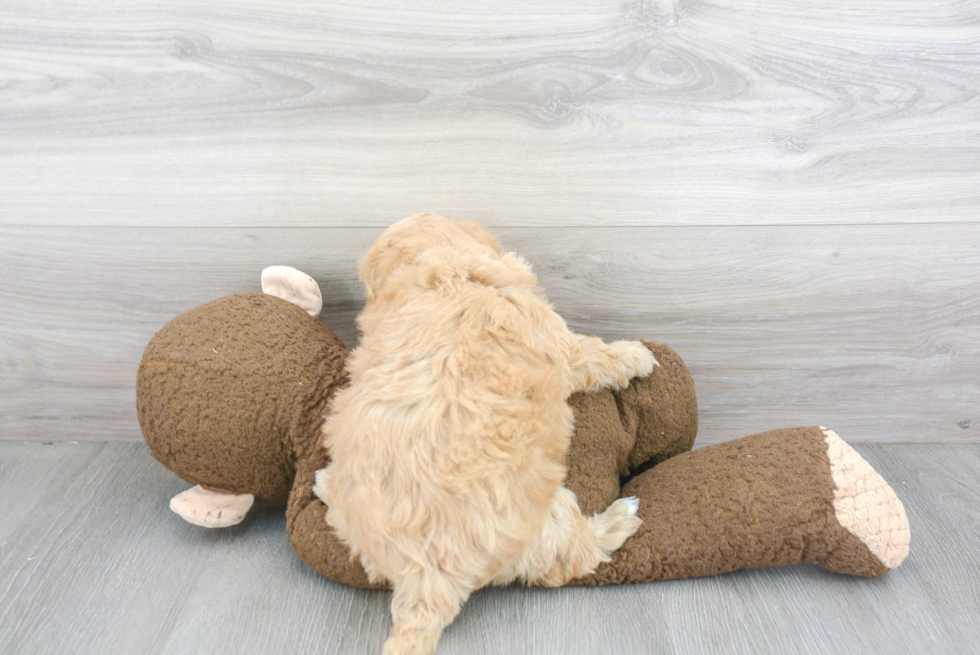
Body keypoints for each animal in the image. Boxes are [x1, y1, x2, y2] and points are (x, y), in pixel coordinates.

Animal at [316, 215, 660, 655]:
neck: (443, 268)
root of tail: (426, 576)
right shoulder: (559, 342)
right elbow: (594, 354)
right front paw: (635, 355)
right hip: (546, 511)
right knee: (573, 557)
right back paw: (620, 518)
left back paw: (322, 482)